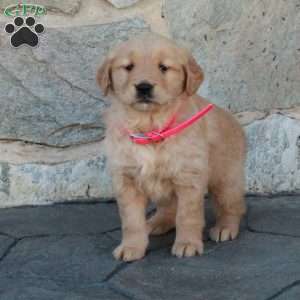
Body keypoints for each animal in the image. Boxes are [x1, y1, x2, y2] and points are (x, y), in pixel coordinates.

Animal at [96, 32, 246, 262]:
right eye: (128, 66)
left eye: (163, 67)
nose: (144, 87)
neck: (150, 127)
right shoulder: (126, 178)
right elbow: (131, 221)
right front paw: (131, 247)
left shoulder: (189, 176)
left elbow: (187, 215)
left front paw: (187, 244)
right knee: (168, 207)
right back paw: (157, 223)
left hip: (226, 178)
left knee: (233, 205)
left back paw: (225, 228)